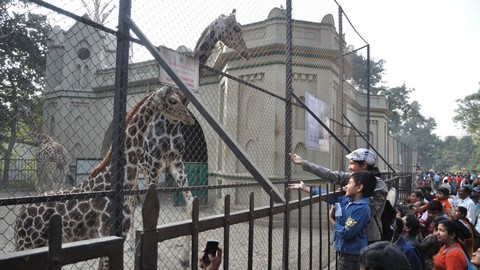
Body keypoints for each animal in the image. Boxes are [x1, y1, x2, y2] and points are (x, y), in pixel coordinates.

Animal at [15, 86, 195, 270]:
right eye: (173, 100)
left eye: (181, 98)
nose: (190, 118)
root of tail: (19, 216)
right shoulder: (109, 233)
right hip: (29, 243)